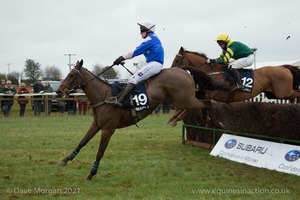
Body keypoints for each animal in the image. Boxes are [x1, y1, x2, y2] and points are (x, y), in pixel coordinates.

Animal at [58, 60, 213, 180]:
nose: (59, 91)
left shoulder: (108, 129)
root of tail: (181, 70)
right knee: (197, 104)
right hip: (179, 100)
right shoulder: (97, 124)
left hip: (185, 99)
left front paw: (92, 173)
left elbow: (100, 152)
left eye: (72, 75)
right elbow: (82, 141)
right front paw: (66, 159)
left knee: (206, 102)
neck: (104, 96)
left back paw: (204, 117)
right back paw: (176, 119)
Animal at [166, 46, 300, 125]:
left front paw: (175, 120)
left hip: (283, 92)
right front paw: (173, 118)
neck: (211, 73)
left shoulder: (209, 95)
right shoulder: (203, 94)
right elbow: (189, 105)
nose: (169, 72)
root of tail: (284, 67)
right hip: (272, 94)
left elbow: (191, 106)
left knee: (297, 93)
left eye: (177, 60)